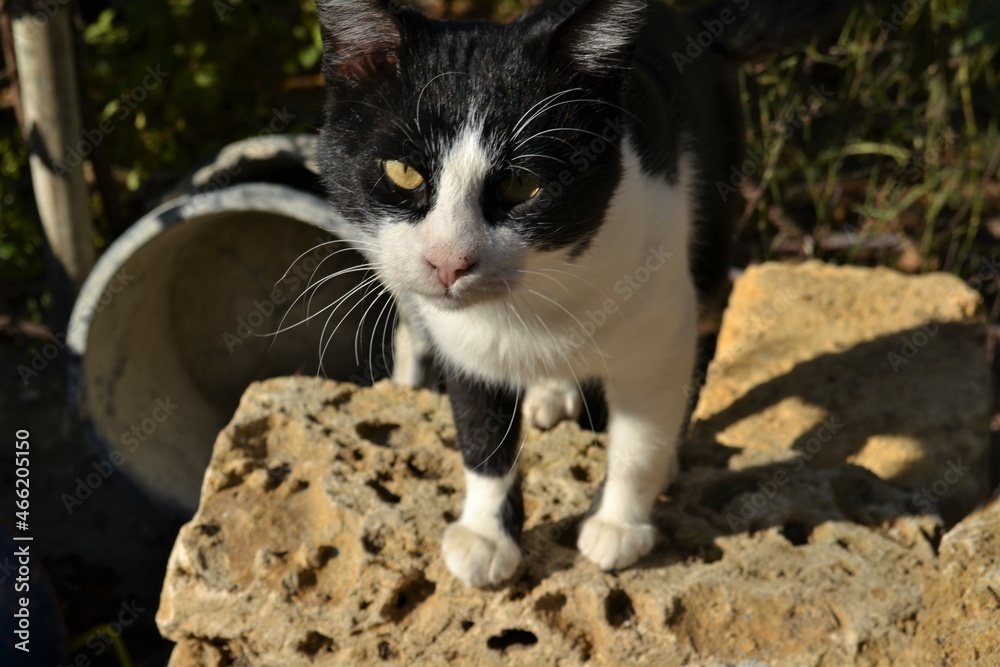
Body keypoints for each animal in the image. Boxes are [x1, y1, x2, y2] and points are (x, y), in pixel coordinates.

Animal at [316, 0, 840, 584]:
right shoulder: (463, 344)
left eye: (523, 185)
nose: (449, 260)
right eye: (403, 172)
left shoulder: (661, 321)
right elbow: (480, 430)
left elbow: (639, 438)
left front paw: (618, 524)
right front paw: (485, 535)